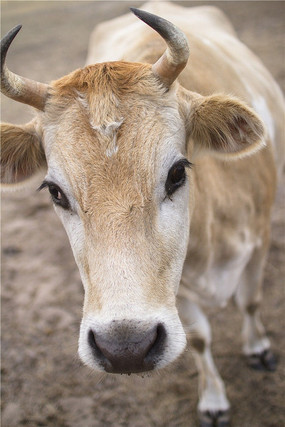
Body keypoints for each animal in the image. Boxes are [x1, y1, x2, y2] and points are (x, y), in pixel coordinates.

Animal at [1, 3, 282, 427]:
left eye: (178, 172)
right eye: (54, 191)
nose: (125, 347)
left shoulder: (261, 238)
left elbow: (249, 301)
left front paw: (258, 347)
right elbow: (200, 338)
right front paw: (213, 399)